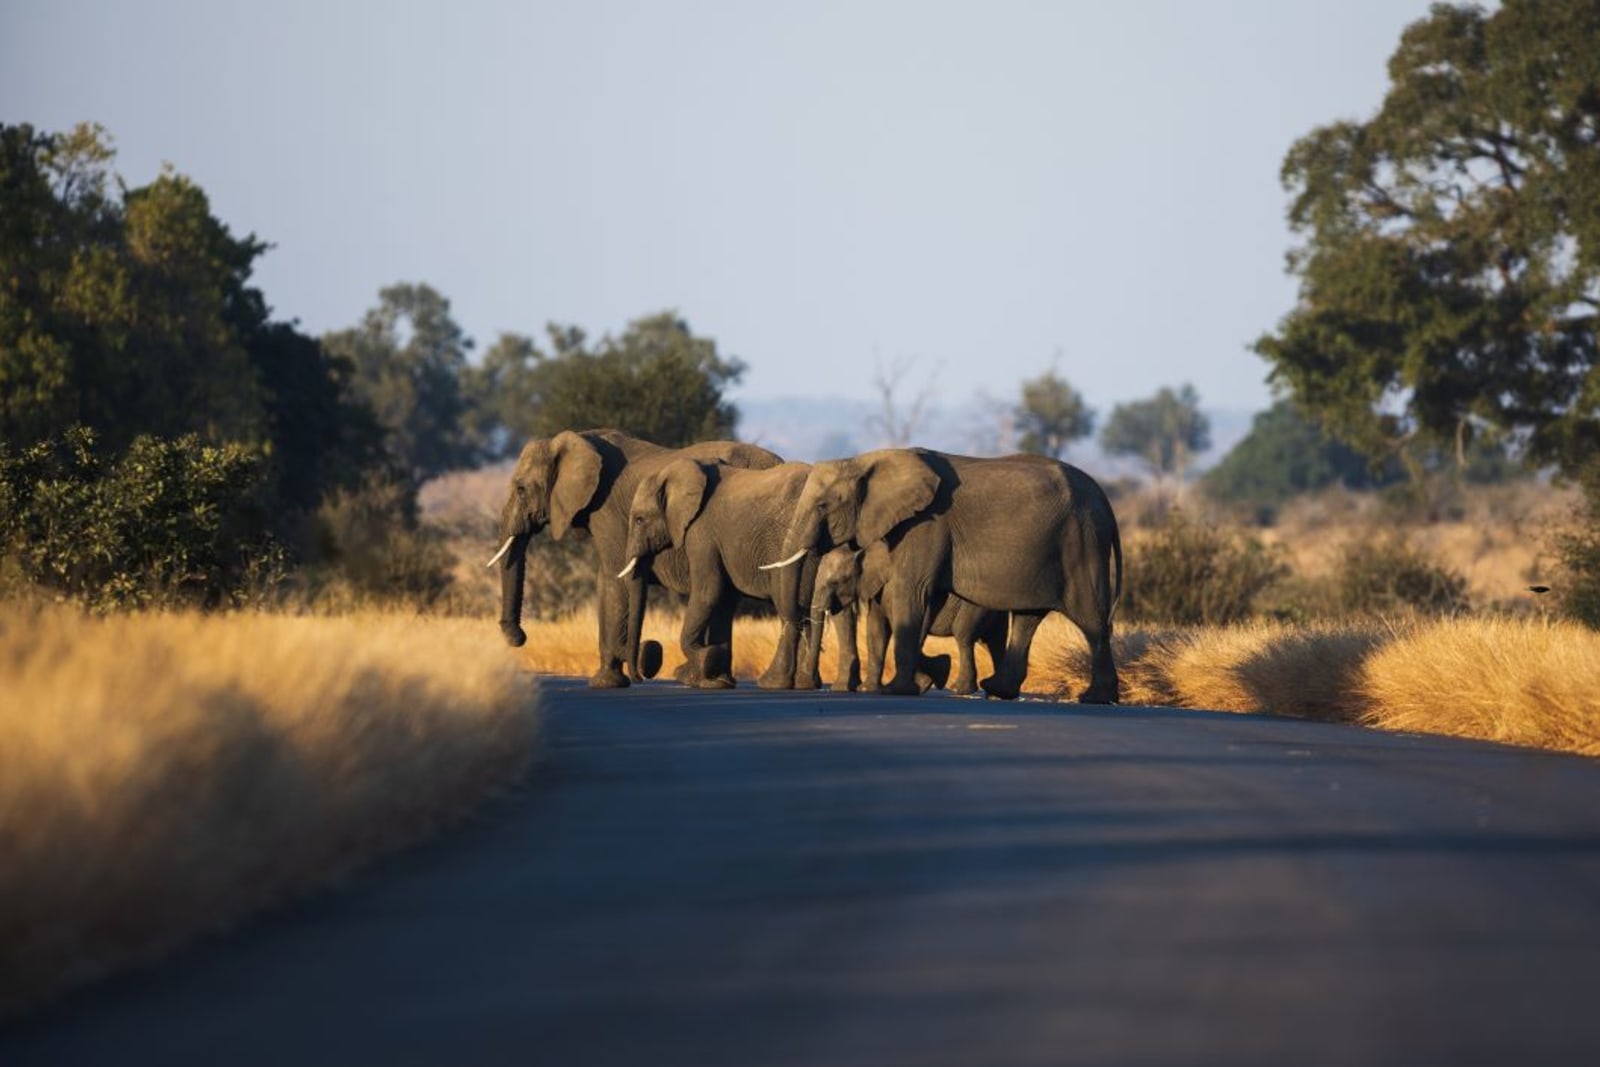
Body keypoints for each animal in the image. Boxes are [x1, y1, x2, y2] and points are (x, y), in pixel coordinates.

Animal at [489, 429, 782, 688]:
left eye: (521, 489)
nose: (518, 637)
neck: (580, 439)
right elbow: (606, 582)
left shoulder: (605, 511)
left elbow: (614, 578)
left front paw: (606, 683)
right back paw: (712, 682)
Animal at [619, 459, 821, 689]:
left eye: (639, 520)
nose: (640, 675)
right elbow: (724, 599)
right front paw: (717, 681)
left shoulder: (701, 532)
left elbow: (709, 591)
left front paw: (704, 663)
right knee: (802, 605)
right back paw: (806, 683)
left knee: (786, 604)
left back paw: (773, 682)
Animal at [807, 543, 1007, 695]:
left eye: (834, 582)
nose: (812, 683)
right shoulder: (877, 589)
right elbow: (876, 630)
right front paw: (868, 689)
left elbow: (899, 628)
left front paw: (927, 680)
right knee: (994, 644)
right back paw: (995, 692)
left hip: (974, 607)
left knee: (964, 636)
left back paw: (960, 689)